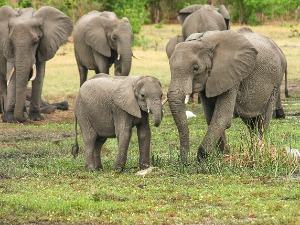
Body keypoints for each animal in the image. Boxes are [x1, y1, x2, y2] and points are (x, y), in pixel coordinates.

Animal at [168, 28, 288, 163]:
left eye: (196, 68)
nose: (185, 162)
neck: (204, 42)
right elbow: (210, 117)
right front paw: (223, 155)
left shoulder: (232, 75)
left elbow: (222, 118)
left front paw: (203, 158)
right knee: (251, 122)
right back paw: (253, 150)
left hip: (277, 80)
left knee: (262, 120)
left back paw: (259, 151)